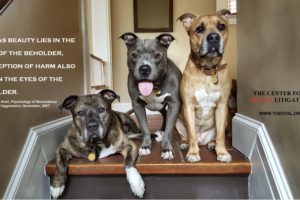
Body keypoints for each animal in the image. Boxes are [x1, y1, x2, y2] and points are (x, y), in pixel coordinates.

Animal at [177, 9, 233, 162]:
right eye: (199, 29)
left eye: (221, 26)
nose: (213, 37)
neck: (208, 71)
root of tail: (202, 140)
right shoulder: (188, 106)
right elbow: (191, 134)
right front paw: (193, 153)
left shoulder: (222, 106)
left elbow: (221, 135)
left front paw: (222, 152)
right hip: (178, 122)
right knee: (187, 136)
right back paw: (184, 144)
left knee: (216, 136)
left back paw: (213, 144)